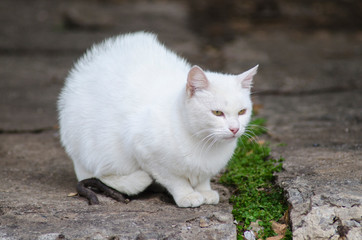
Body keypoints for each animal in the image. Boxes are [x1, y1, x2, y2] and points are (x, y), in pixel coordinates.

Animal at [58, 32, 258, 208]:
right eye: (217, 112)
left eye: (242, 111)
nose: (234, 128)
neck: (204, 144)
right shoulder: (146, 153)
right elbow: (175, 179)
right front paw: (187, 195)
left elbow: (203, 178)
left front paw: (204, 191)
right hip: (102, 148)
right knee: (102, 175)